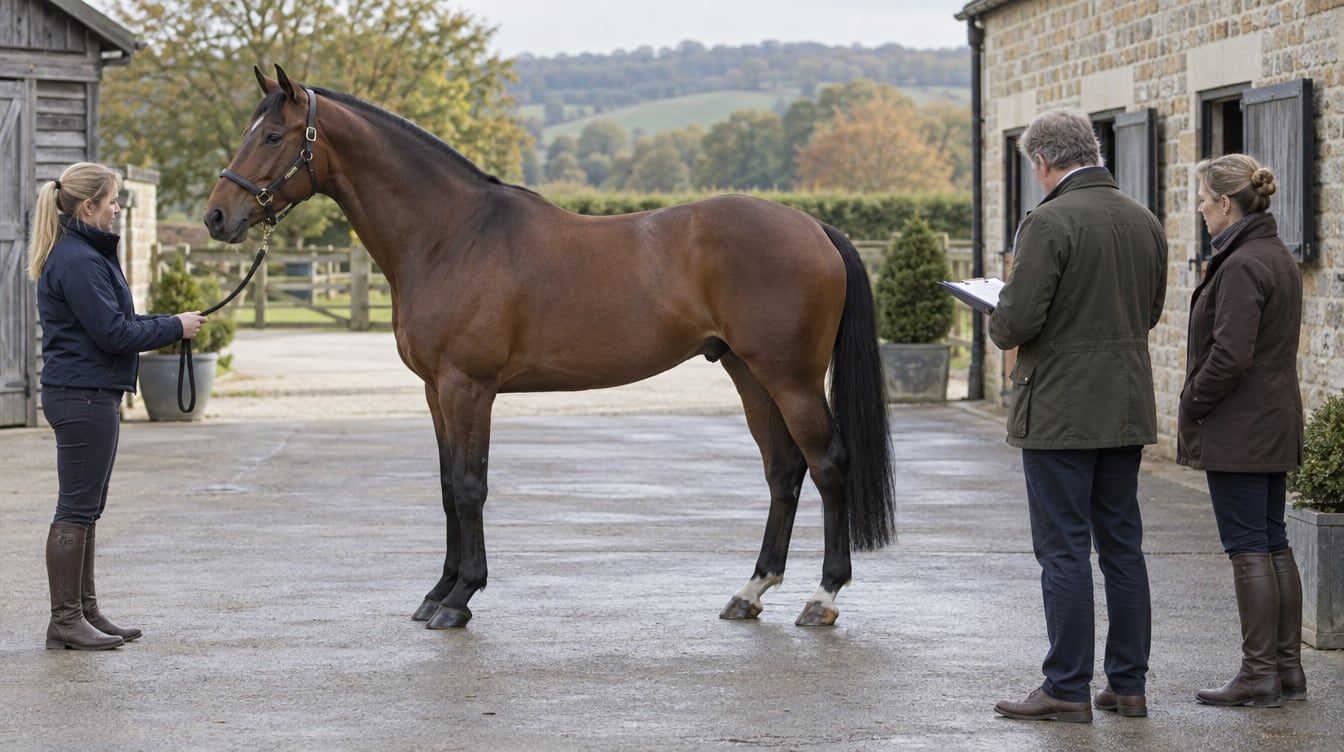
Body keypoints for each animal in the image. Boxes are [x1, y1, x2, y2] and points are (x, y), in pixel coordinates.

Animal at [205, 65, 895, 629]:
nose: (217, 216)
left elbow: (470, 485)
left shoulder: (469, 386)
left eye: (273, 137)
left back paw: (823, 597)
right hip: (749, 374)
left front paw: (460, 600)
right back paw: (749, 593)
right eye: (248, 130)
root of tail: (814, 226)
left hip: (791, 378)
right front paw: (436, 592)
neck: (451, 234)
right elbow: (445, 485)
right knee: (783, 470)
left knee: (829, 464)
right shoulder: (435, 390)